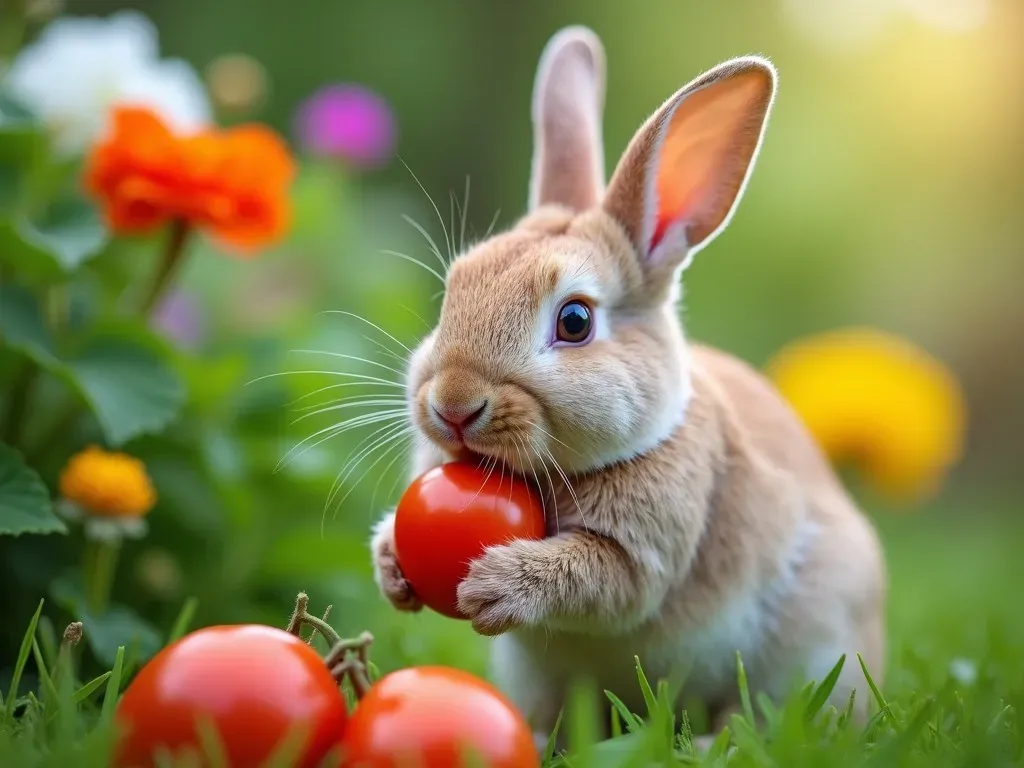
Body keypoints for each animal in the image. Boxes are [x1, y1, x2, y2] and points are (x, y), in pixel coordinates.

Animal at [370, 22, 888, 753]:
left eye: (575, 321)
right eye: (454, 290)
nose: (452, 405)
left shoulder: (644, 549)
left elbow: (599, 577)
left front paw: (494, 587)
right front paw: (391, 567)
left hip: (812, 642)